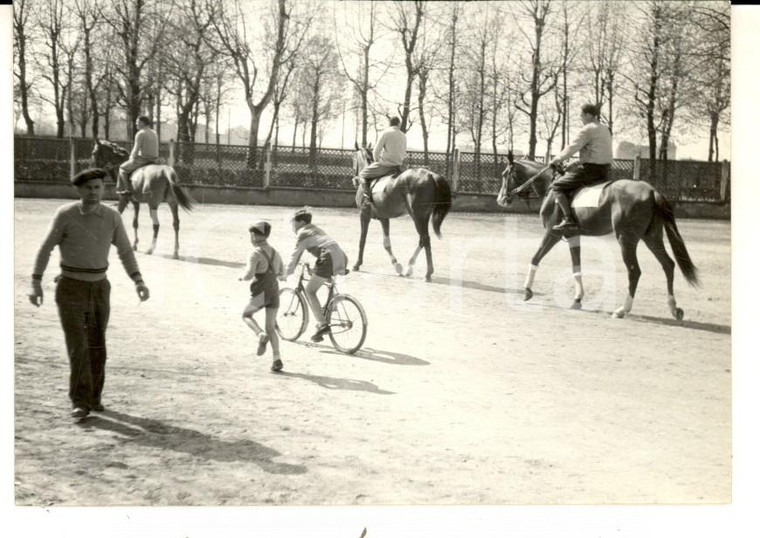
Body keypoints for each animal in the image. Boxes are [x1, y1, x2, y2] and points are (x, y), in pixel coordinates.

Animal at [350, 144, 452, 282]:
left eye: (353, 158)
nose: (355, 181)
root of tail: (431, 174)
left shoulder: (364, 215)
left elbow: (362, 239)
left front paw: (357, 264)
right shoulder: (384, 218)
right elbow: (386, 244)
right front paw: (397, 266)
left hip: (417, 216)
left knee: (425, 239)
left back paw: (427, 274)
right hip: (423, 217)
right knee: (422, 239)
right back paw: (409, 268)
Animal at [492, 151, 700, 318]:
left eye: (505, 174)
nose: (500, 199)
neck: (551, 188)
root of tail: (651, 190)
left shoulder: (552, 234)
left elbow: (535, 258)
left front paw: (527, 290)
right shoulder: (573, 236)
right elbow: (576, 267)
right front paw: (577, 299)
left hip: (627, 240)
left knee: (634, 272)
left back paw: (623, 309)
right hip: (652, 238)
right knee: (668, 265)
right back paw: (674, 308)